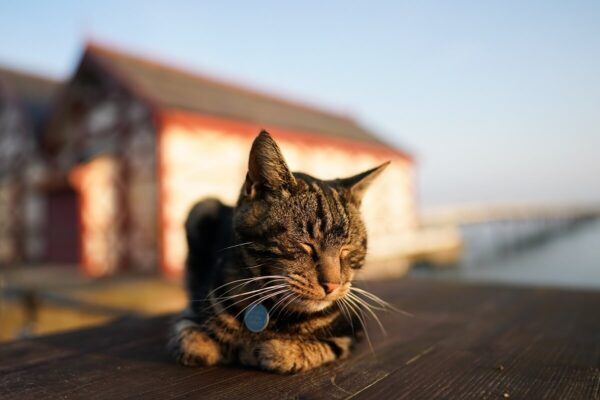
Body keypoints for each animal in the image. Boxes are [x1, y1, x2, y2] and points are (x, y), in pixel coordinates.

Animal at [169, 131, 392, 376]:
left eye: (347, 249)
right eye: (307, 245)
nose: (332, 285)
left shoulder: (350, 330)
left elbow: (314, 347)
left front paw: (271, 350)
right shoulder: (195, 308)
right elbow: (189, 337)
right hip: (203, 207)